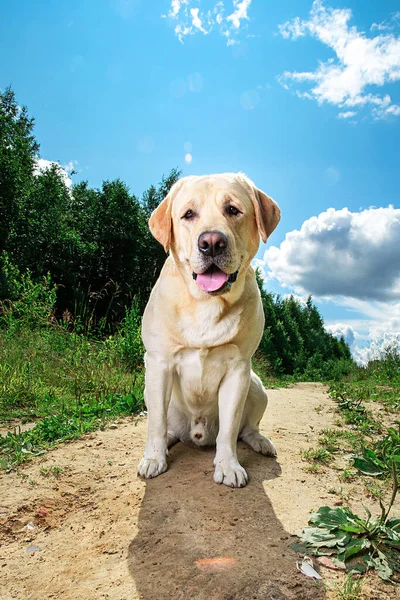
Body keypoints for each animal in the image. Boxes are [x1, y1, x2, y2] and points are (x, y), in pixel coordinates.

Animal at [139, 172, 280, 488]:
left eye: (233, 210)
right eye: (188, 214)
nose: (212, 242)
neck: (206, 303)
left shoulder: (238, 369)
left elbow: (229, 429)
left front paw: (228, 466)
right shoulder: (159, 364)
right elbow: (155, 423)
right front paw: (154, 459)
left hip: (257, 386)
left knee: (246, 429)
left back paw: (261, 442)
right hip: (152, 390)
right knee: (163, 424)